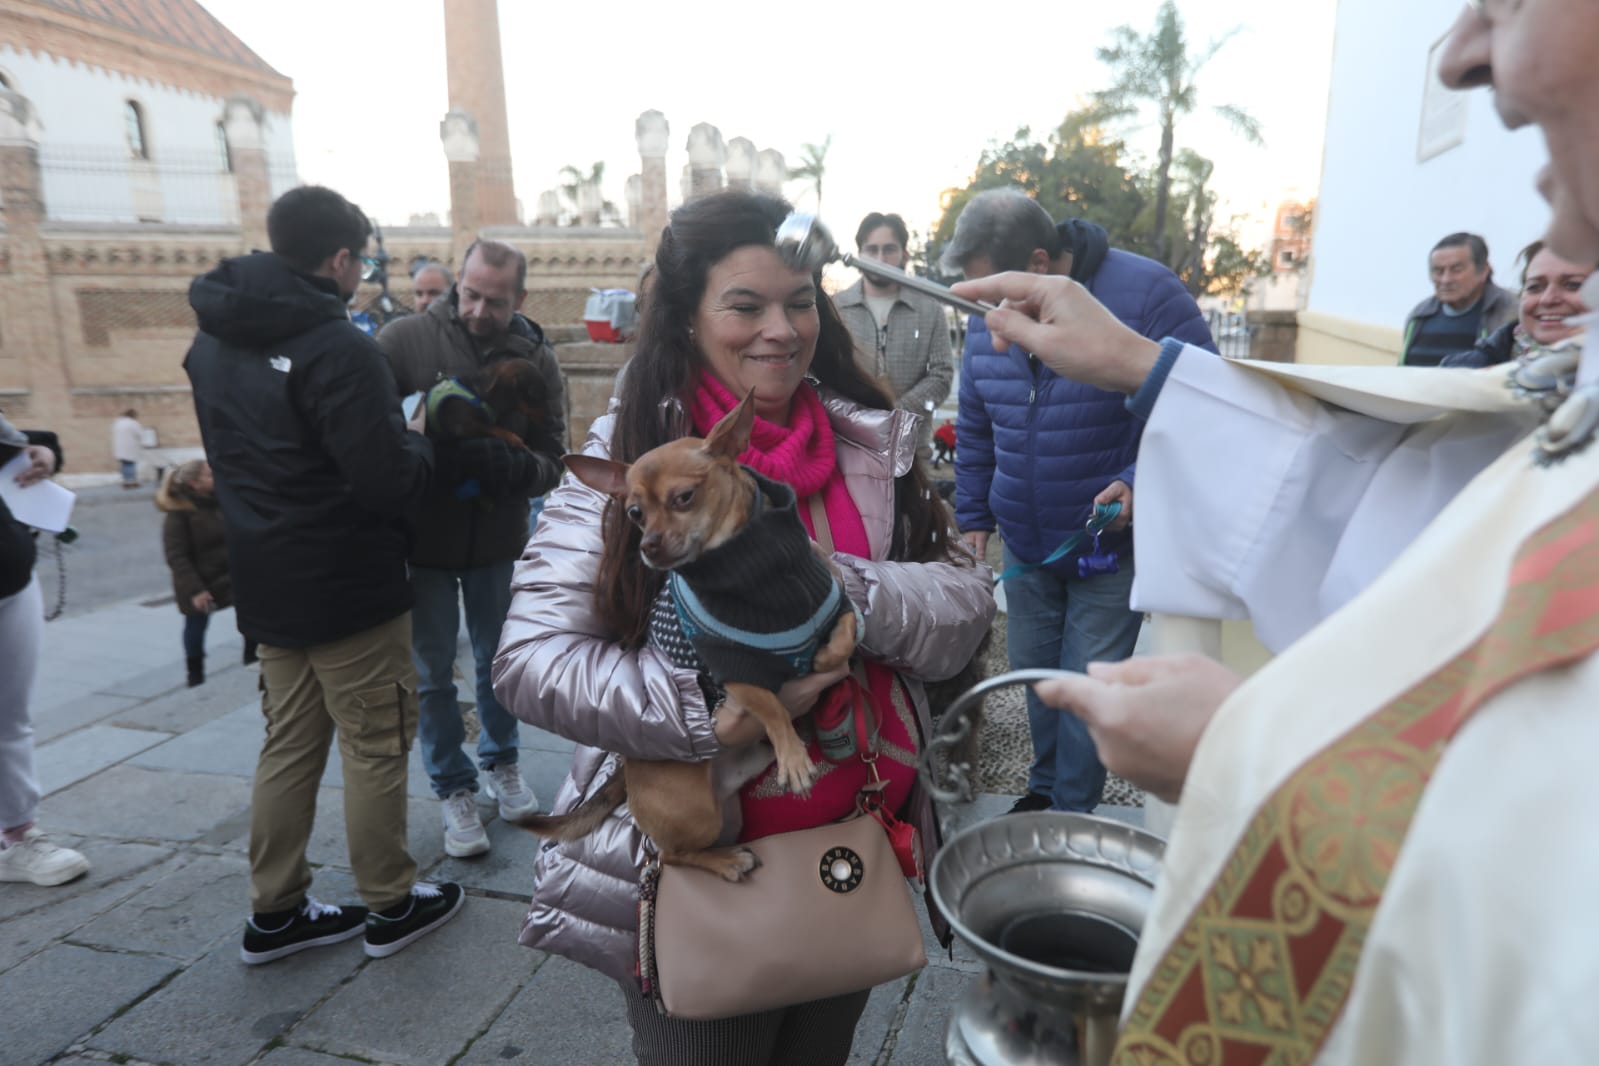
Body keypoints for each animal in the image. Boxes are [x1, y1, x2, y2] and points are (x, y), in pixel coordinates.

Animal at [518, 391, 857, 882]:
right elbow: (772, 706)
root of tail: (626, 773)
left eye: (684, 497)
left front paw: (825, 657)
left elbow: (846, 636)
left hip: (731, 806)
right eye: (635, 513)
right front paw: (795, 758)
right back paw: (728, 862)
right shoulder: (732, 671)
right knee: (670, 856)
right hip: (698, 812)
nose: (648, 545)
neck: (757, 566)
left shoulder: (835, 603)